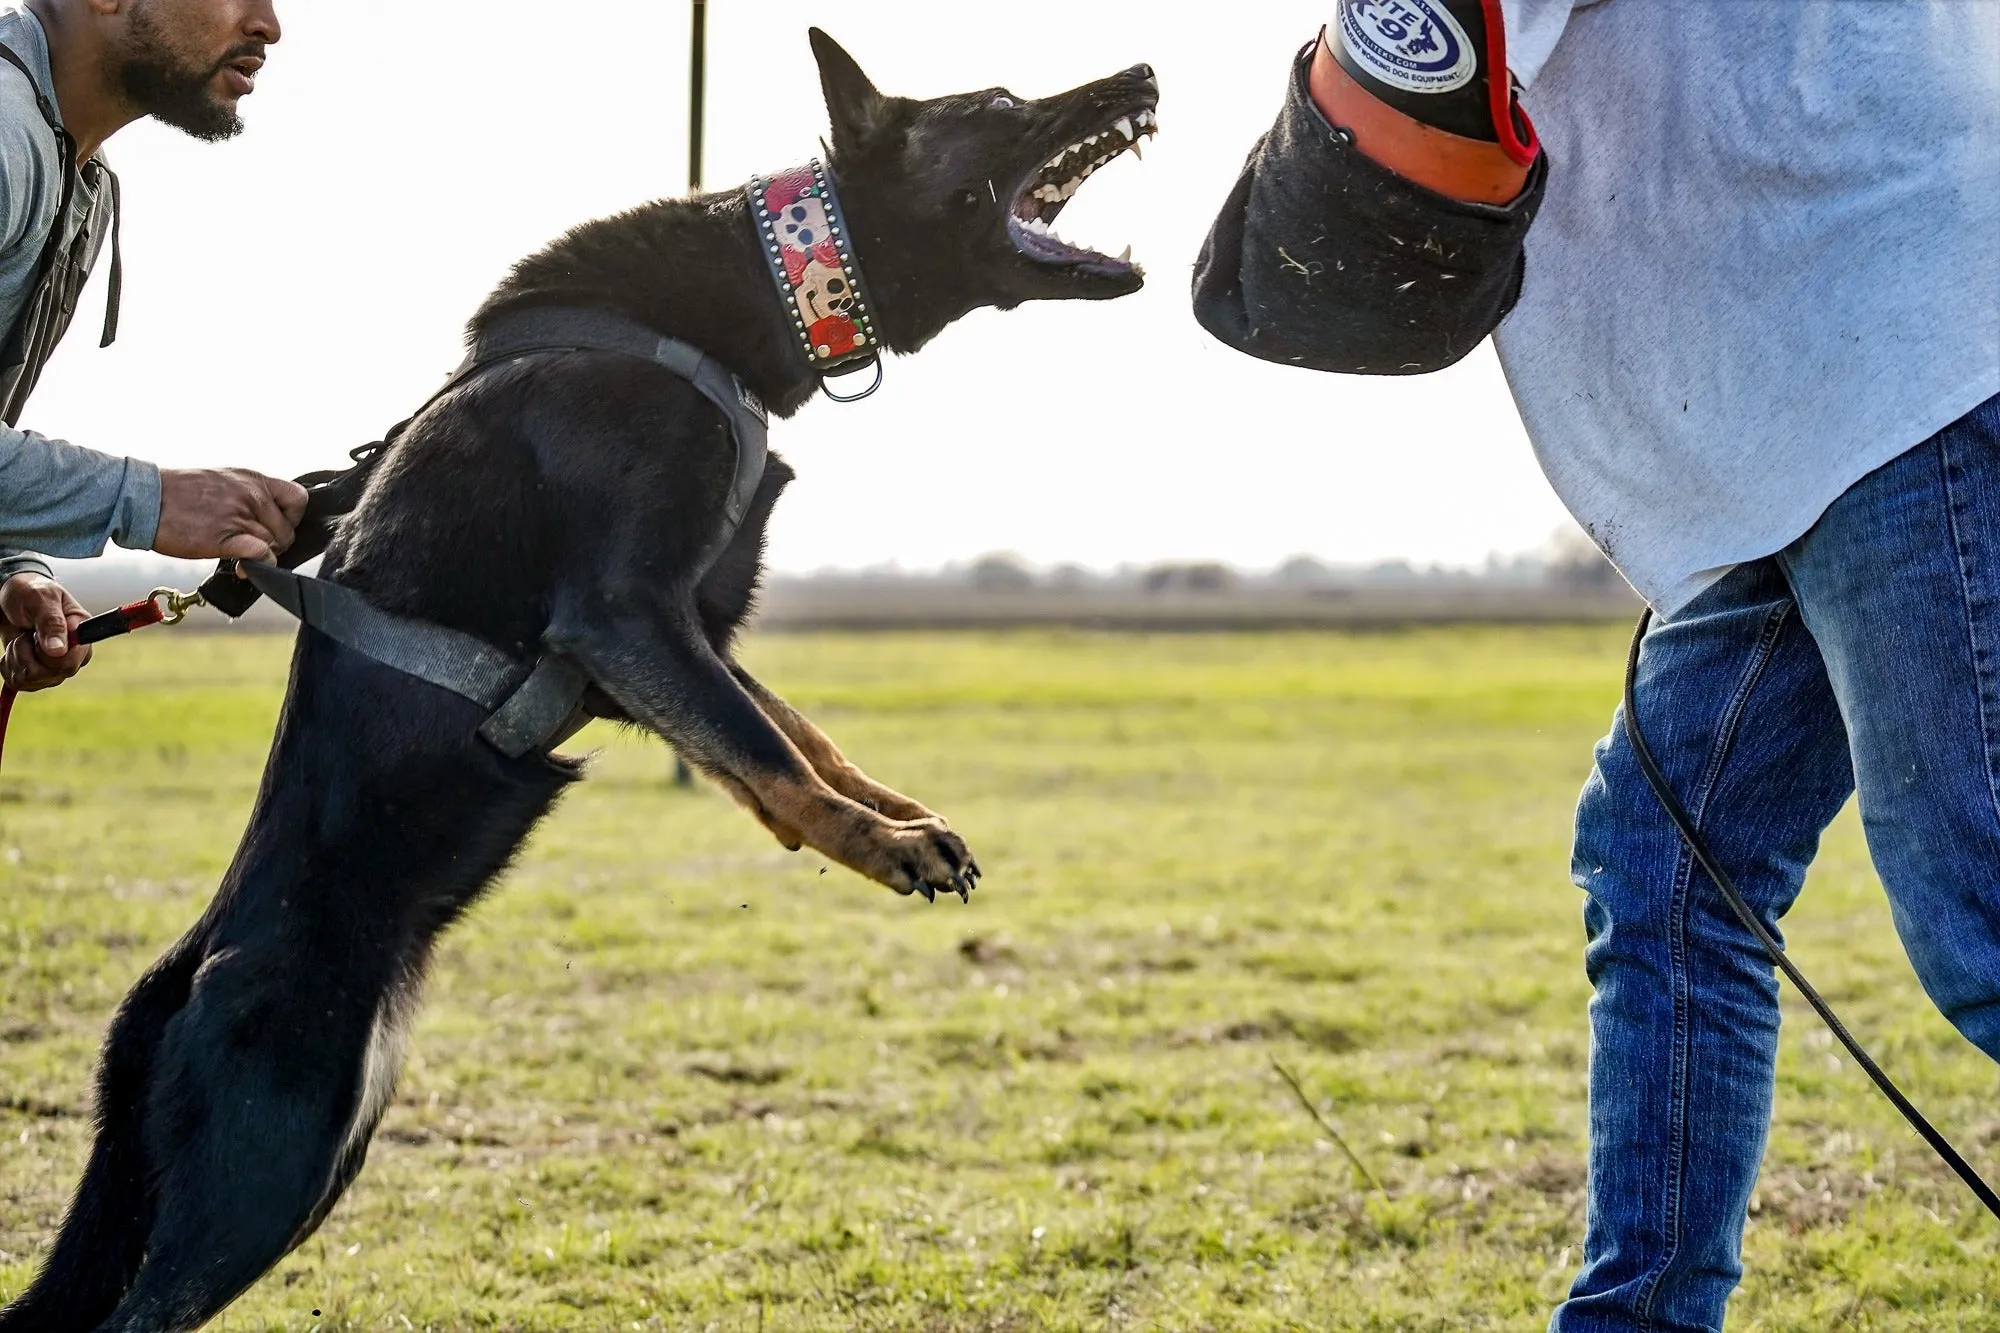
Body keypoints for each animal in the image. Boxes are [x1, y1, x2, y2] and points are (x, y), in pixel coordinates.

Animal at [0, 31, 1160, 1328]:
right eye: (999, 101)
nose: (1144, 75)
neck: (758, 289)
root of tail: (171, 988)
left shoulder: (674, 635)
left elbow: (788, 736)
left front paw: (890, 809)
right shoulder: (622, 619)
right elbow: (761, 746)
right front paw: (887, 845)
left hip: (311, 1154)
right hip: (266, 1162)